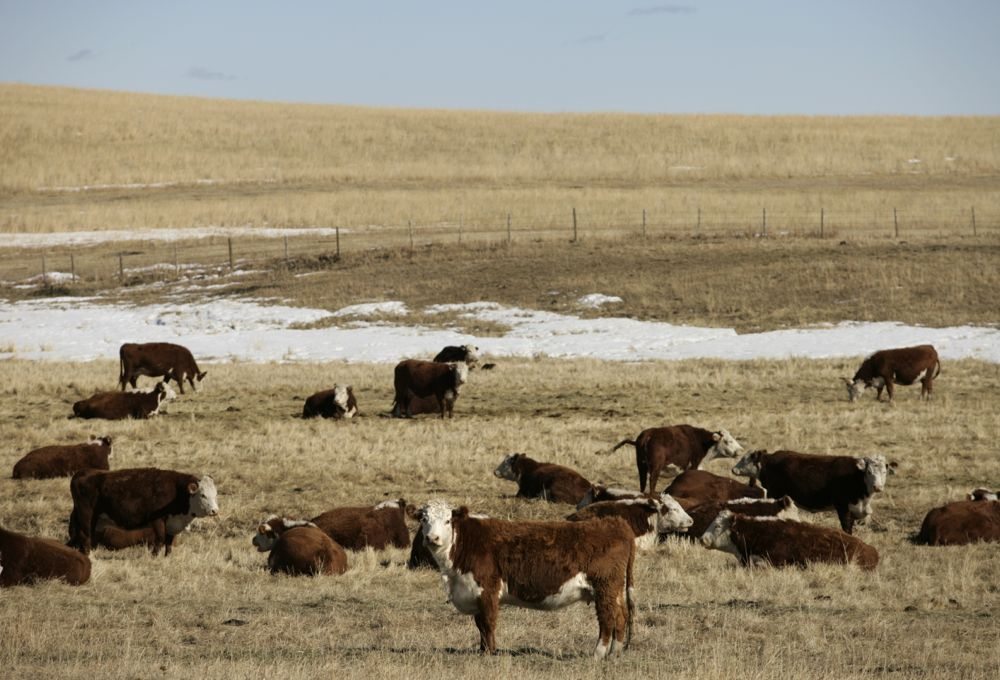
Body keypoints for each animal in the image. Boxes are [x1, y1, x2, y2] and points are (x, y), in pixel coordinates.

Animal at [68, 467, 218, 555]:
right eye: (203, 495)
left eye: (215, 494)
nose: (215, 511)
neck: (177, 491)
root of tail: (82, 473)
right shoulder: (157, 519)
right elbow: (160, 539)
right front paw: (154, 555)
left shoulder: (172, 523)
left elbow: (169, 541)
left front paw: (167, 556)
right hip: (86, 515)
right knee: (85, 535)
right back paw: (88, 555)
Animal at [417, 499, 635, 659]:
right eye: (424, 520)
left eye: (447, 521)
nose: (432, 538)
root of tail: (616, 523)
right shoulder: (474, 592)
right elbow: (480, 625)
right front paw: (482, 650)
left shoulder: (487, 589)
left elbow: (488, 623)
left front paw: (490, 653)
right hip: (614, 589)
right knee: (621, 616)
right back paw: (614, 653)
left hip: (604, 587)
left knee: (607, 618)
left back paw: (598, 654)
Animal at [612, 425, 744, 494]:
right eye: (727, 441)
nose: (740, 450)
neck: (701, 442)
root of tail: (647, 436)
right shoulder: (694, 466)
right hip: (655, 468)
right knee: (652, 483)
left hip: (641, 467)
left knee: (642, 484)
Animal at [731, 450, 893, 534]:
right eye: (869, 472)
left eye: (884, 472)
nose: (878, 487)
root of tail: (769, 458)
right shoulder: (842, 507)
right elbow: (846, 528)